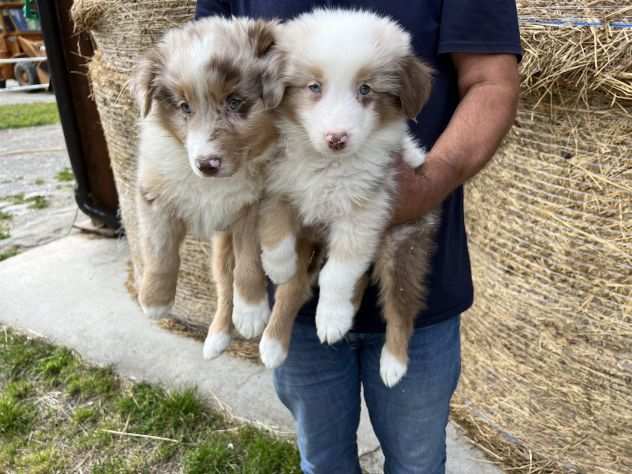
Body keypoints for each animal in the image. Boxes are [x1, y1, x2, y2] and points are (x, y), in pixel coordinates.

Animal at [132, 17, 286, 360]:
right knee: (222, 286)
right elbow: (159, 250)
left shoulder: (251, 206)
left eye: (234, 102)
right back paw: (216, 337)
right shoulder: (155, 194)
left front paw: (251, 310)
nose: (206, 164)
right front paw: (154, 300)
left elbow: (248, 261)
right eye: (184, 107)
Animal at [256, 9, 440, 386]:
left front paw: (331, 319)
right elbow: (276, 233)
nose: (336, 138)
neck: (327, 164)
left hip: (402, 245)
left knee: (401, 305)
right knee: (296, 289)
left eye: (365, 89)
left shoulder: (364, 213)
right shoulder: (277, 185)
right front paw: (277, 266)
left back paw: (393, 363)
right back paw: (273, 343)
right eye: (314, 87)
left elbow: (339, 274)